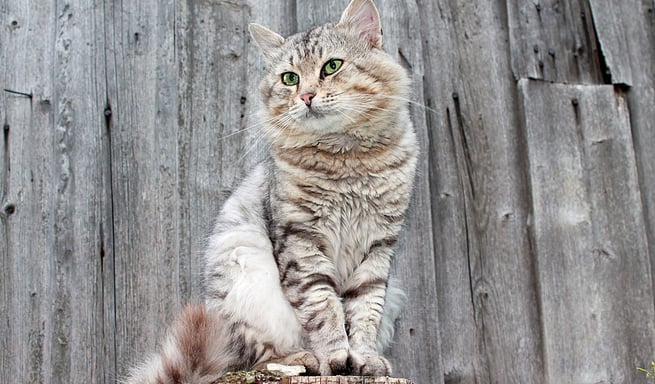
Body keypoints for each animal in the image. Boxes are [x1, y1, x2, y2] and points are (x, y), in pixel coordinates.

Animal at [125, 0, 418, 380]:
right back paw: (303, 360)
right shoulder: (301, 241)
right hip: (247, 276)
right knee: (260, 356)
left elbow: (364, 312)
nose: (306, 96)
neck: (346, 159)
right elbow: (323, 308)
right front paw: (335, 358)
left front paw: (365, 360)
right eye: (289, 78)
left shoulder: (378, 247)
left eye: (332, 66)